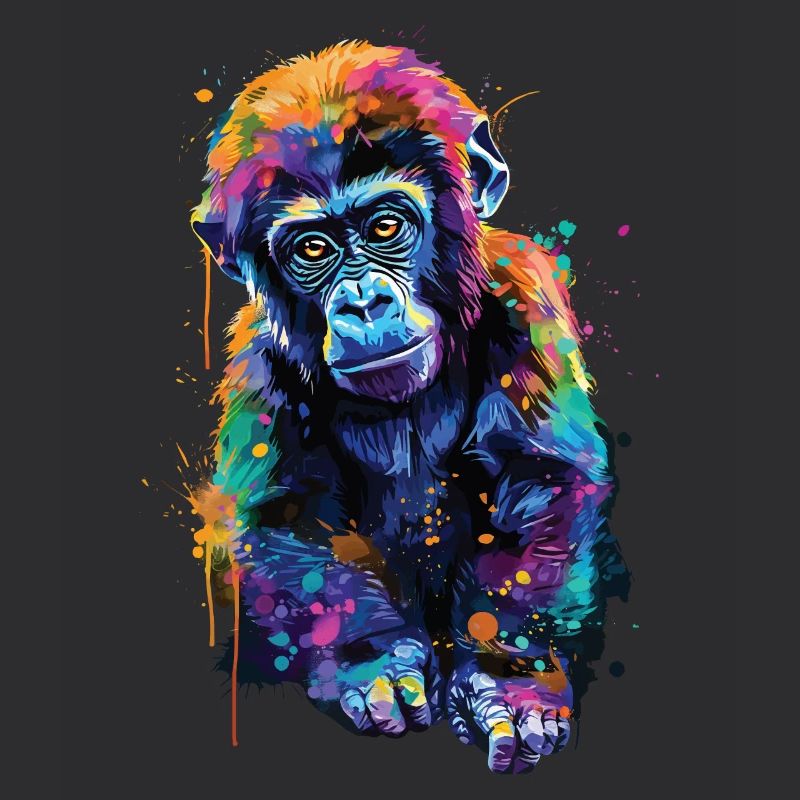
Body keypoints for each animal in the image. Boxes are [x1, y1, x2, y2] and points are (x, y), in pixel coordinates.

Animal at [188, 41, 628, 774]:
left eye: (387, 226)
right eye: (313, 248)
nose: (364, 302)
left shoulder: (526, 294)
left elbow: (540, 479)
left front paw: (507, 678)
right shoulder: (257, 357)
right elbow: (280, 516)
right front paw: (374, 661)